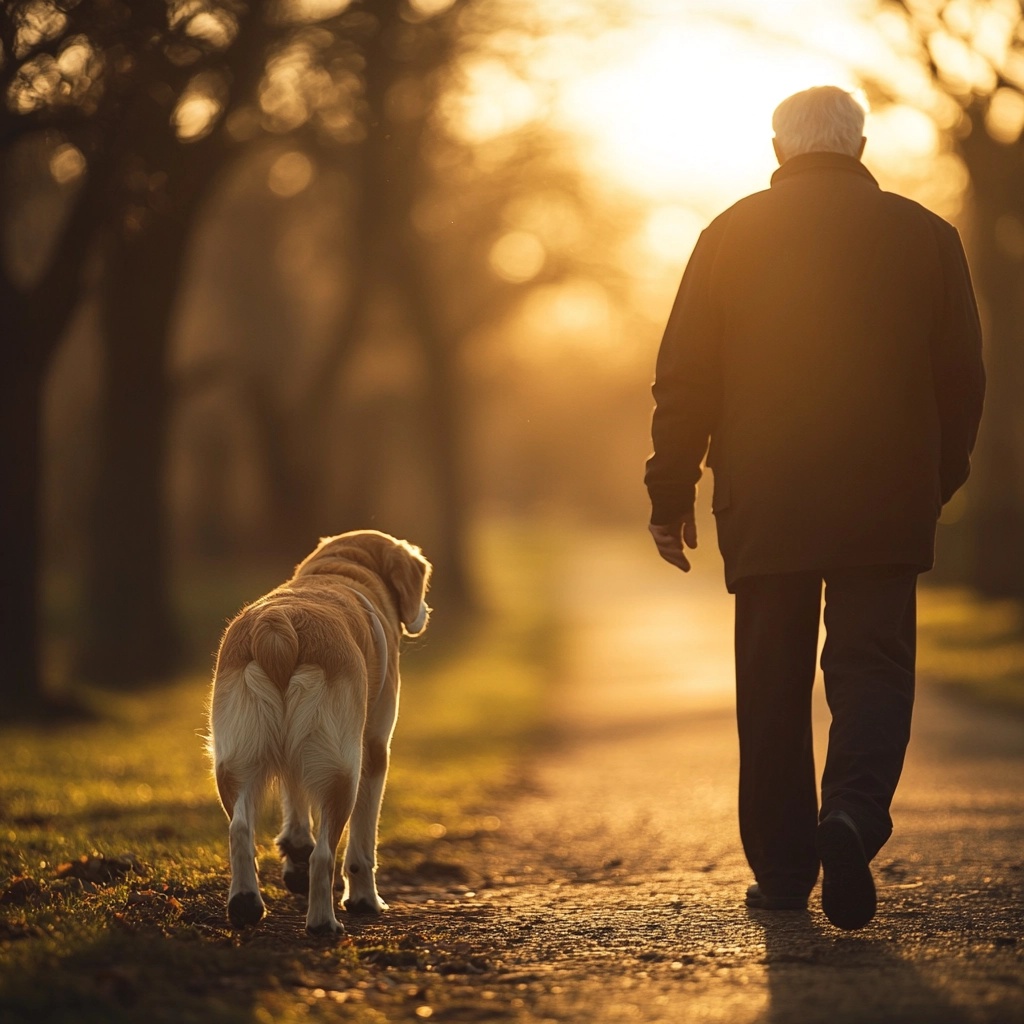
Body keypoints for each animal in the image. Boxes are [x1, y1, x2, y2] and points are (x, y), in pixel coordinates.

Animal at [207, 532, 432, 933]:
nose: (424, 612)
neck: (342, 570)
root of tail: (278, 625)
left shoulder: (294, 756)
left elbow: (293, 795)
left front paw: (294, 853)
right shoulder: (375, 749)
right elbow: (362, 845)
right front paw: (364, 900)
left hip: (235, 761)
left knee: (240, 831)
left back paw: (246, 904)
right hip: (343, 771)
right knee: (326, 855)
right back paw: (323, 922)